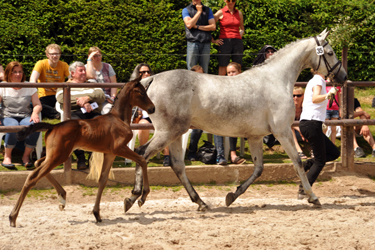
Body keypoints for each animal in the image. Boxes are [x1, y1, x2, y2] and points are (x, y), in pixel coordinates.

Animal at [9, 78, 155, 227]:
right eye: (141, 92)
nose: (152, 108)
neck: (118, 119)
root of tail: (53, 126)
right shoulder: (119, 148)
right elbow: (142, 160)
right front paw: (142, 197)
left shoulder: (109, 153)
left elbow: (103, 179)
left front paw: (97, 214)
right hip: (59, 156)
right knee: (33, 176)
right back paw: (12, 217)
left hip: (55, 154)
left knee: (38, 163)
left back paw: (62, 198)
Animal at [125, 29, 346, 212]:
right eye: (330, 52)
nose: (343, 76)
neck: (276, 79)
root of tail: (149, 80)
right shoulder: (282, 131)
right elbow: (297, 162)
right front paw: (313, 197)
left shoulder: (256, 137)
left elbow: (258, 169)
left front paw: (231, 196)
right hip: (167, 132)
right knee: (142, 153)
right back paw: (135, 197)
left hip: (176, 133)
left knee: (177, 165)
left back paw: (200, 202)